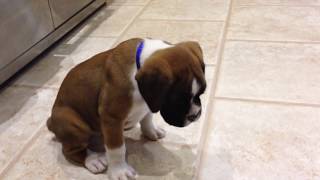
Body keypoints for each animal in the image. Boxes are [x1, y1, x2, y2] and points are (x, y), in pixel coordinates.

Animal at [47, 37, 208, 179]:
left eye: (202, 92)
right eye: (177, 100)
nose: (195, 115)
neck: (137, 66)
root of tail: (51, 122)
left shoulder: (149, 102)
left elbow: (147, 119)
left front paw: (151, 131)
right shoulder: (112, 118)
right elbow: (117, 149)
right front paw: (120, 170)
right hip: (72, 121)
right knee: (70, 150)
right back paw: (93, 160)